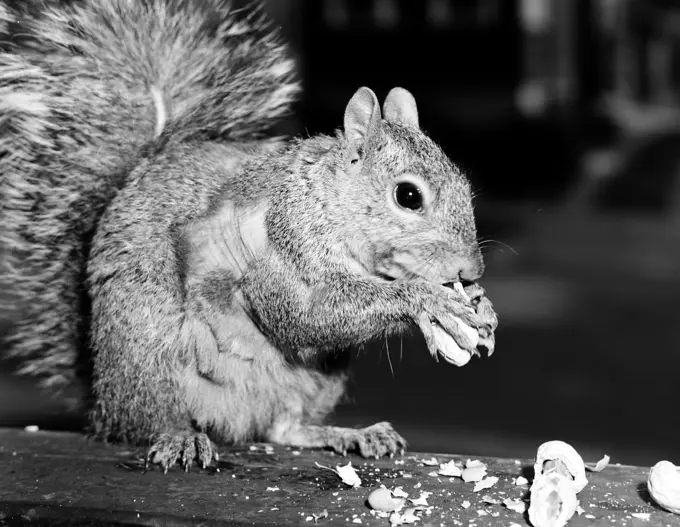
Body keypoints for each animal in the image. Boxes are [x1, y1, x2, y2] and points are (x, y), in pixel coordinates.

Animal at [1, 0, 500, 470]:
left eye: (463, 180)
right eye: (408, 195)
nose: (472, 270)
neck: (326, 200)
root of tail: (102, 402)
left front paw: (481, 306)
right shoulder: (284, 244)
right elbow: (308, 313)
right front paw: (427, 299)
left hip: (317, 378)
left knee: (283, 428)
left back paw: (350, 434)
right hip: (146, 345)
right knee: (149, 420)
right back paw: (179, 437)